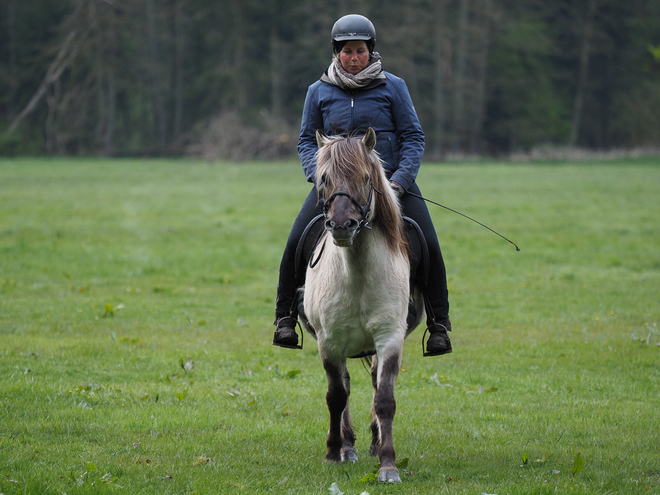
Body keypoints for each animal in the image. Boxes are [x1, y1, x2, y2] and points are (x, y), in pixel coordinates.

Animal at [298, 128, 426, 484]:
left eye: (366, 178)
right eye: (324, 178)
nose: (343, 225)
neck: (357, 275)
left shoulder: (389, 338)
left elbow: (384, 399)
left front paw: (388, 463)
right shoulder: (329, 342)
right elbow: (336, 396)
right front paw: (333, 452)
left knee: (370, 381)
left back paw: (371, 443)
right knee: (344, 388)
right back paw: (348, 446)